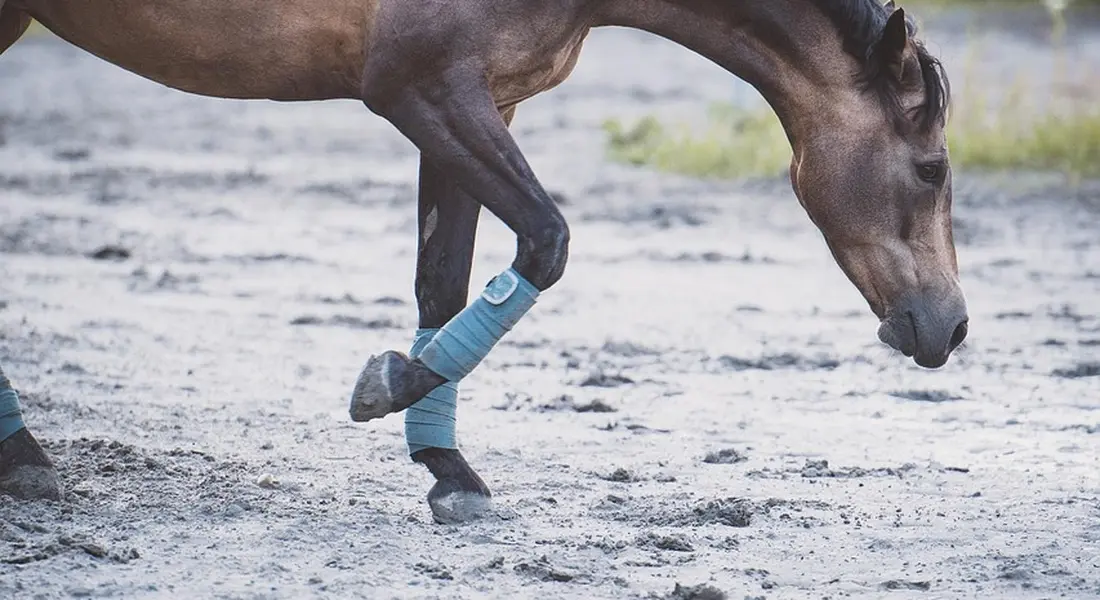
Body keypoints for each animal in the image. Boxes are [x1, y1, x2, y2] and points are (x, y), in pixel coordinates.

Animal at [0, 0, 968, 523]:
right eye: (932, 168)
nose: (952, 328)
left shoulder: (471, 102)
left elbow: (445, 284)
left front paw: (447, 468)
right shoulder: (423, 90)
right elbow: (546, 243)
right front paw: (387, 385)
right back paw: (25, 455)